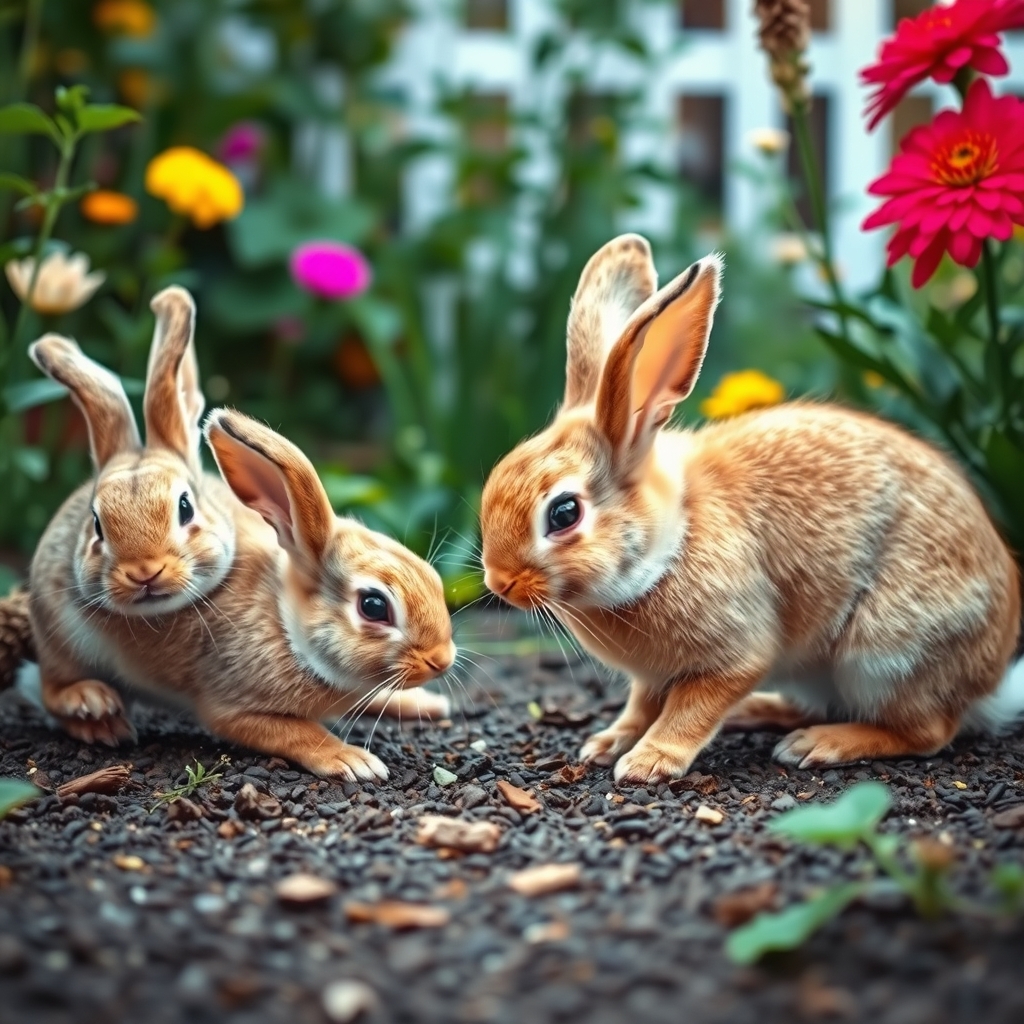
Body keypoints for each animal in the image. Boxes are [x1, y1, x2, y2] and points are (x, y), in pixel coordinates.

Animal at [479, 233, 1022, 786]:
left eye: (564, 513)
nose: (499, 583)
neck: (672, 540)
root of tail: (990, 682)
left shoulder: (734, 654)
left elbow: (690, 709)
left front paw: (648, 762)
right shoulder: (652, 678)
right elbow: (640, 705)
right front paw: (608, 743)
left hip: (885, 656)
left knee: (927, 732)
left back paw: (815, 744)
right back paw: (759, 713)